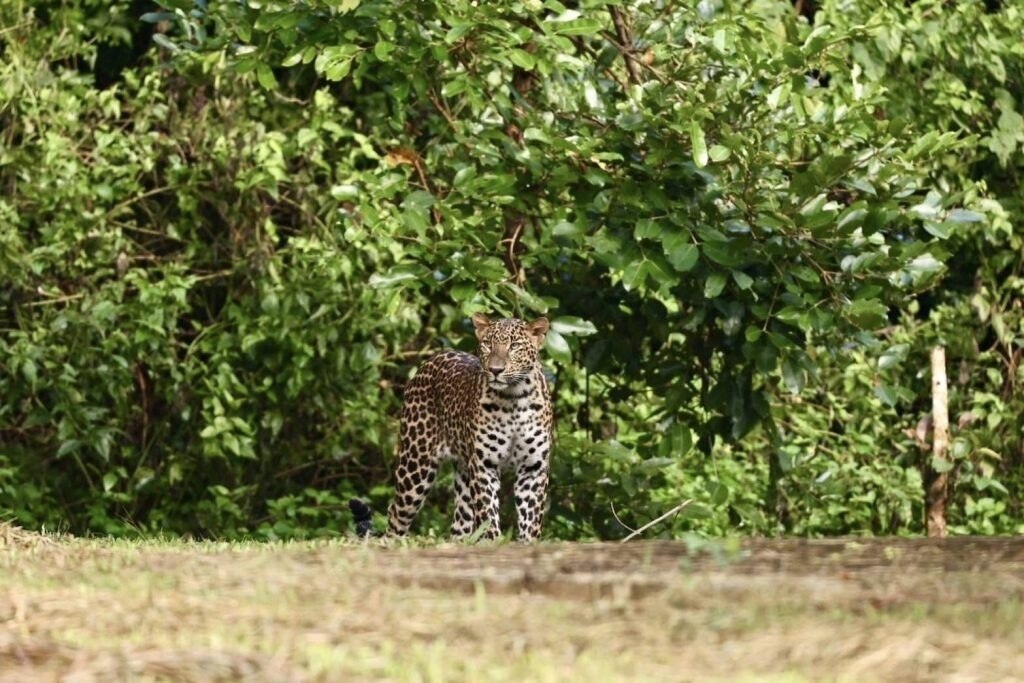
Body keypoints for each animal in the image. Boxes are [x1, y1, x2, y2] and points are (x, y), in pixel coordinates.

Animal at [387, 313, 557, 540]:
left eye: (514, 346)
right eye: (487, 344)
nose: (495, 370)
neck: (514, 398)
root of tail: (432, 359)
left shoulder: (533, 467)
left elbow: (531, 521)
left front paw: (527, 544)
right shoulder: (484, 464)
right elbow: (487, 514)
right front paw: (493, 542)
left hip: (463, 474)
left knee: (460, 524)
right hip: (416, 465)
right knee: (396, 513)